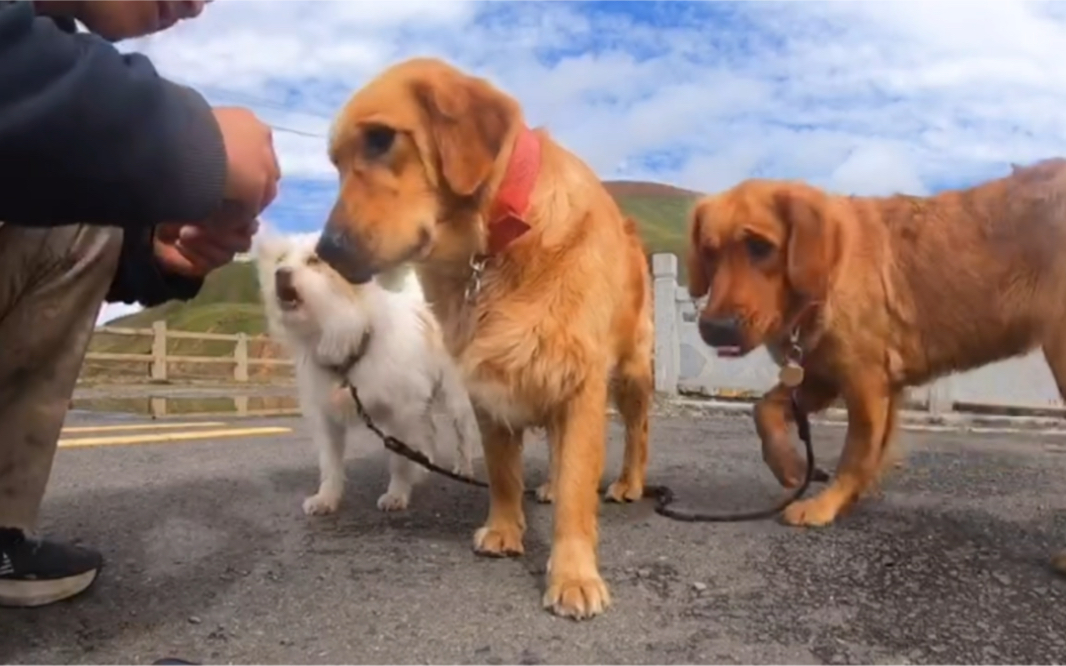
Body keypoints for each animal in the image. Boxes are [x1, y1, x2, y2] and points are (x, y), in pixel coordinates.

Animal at [254, 228, 479, 513]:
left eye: (314, 261)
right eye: (280, 259)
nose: (280, 272)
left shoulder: (401, 413)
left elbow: (399, 461)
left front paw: (396, 494)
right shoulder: (326, 417)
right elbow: (330, 463)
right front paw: (326, 498)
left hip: (454, 396)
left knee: (462, 432)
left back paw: (464, 467)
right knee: (428, 429)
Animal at [311, 57, 652, 618]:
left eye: (381, 139)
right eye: (335, 162)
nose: (327, 251)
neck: (494, 246)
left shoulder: (581, 383)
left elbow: (578, 487)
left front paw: (574, 575)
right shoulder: (489, 385)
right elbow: (502, 471)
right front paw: (504, 529)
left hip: (631, 374)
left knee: (638, 434)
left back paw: (628, 483)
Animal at [686, 158, 1066, 537]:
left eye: (760, 247)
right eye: (708, 252)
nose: (715, 329)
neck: (831, 269)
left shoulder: (864, 382)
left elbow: (856, 454)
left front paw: (827, 503)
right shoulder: (818, 377)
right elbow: (763, 409)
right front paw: (791, 467)